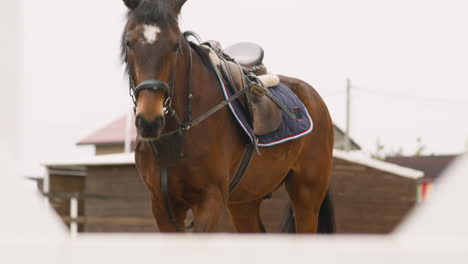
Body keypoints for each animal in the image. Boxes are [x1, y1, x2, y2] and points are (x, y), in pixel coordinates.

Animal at [120, 0, 332, 233]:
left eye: (176, 45)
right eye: (129, 42)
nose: (149, 121)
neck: (178, 134)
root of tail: (314, 98)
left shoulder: (212, 198)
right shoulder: (162, 205)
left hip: (307, 196)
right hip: (244, 202)